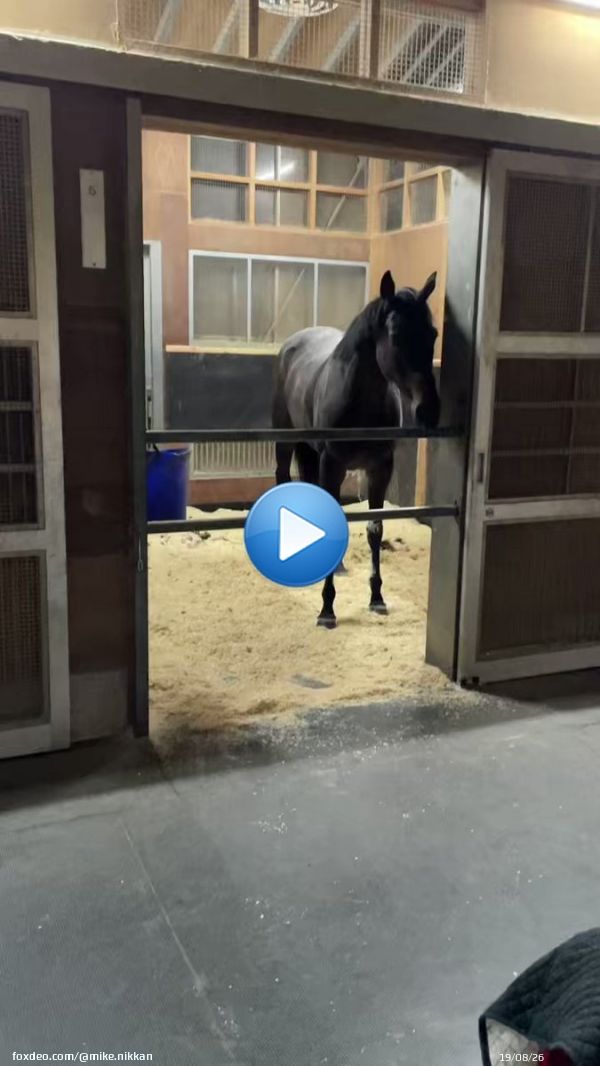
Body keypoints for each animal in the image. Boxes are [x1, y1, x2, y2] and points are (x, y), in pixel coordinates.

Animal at [272, 269, 440, 628]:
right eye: (395, 334)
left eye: (433, 333)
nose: (428, 411)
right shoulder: (332, 463)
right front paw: (327, 610)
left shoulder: (380, 468)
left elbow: (375, 529)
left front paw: (377, 598)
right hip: (286, 441)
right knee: (281, 477)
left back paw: (337, 566)